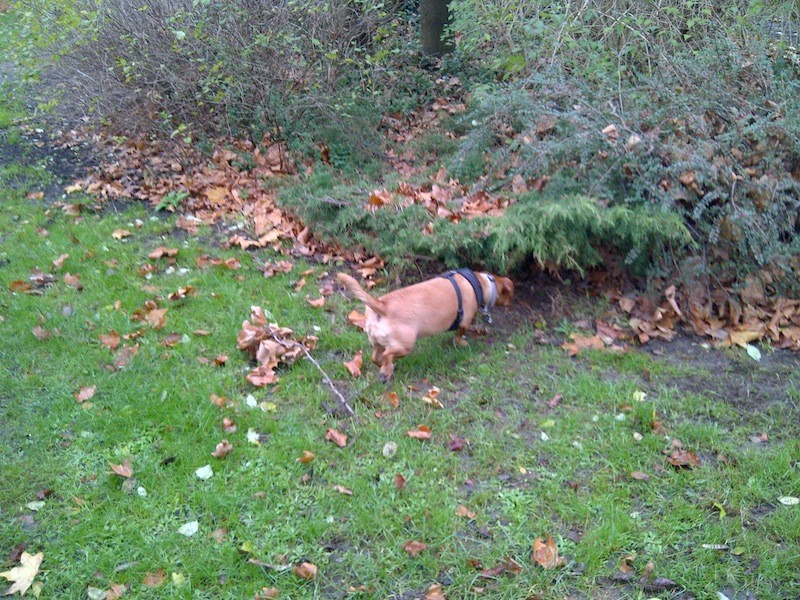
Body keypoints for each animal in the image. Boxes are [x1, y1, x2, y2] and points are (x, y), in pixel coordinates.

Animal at [336, 270, 512, 382]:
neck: (480, 283)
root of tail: (382, 306)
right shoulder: (465, 321)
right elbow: (459, 334)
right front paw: (461, 342)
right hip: (405, 346)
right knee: (387, 354)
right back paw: (387, 370)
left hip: (376, 342)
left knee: (376, 357)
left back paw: (385, 368)